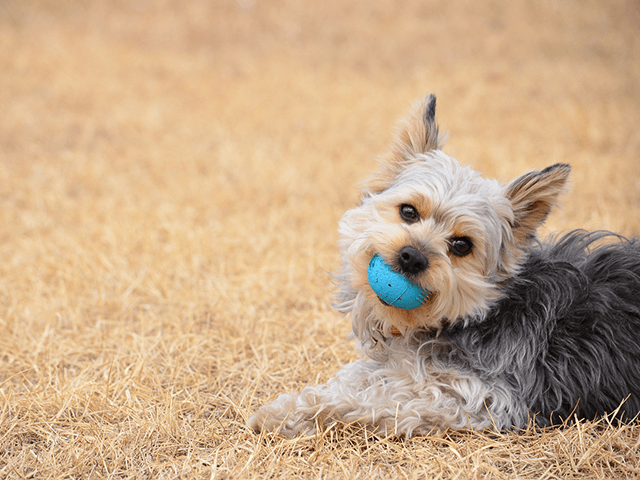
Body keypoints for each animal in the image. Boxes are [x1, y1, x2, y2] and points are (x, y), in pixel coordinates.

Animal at [248, 95, 640, 436]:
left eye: (462, 245)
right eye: (408, 211)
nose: (412, 256)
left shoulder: (479, 398)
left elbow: (373, 402)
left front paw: (296, 415)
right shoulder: (394, 363)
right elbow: (354, 378)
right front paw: (289, 406)